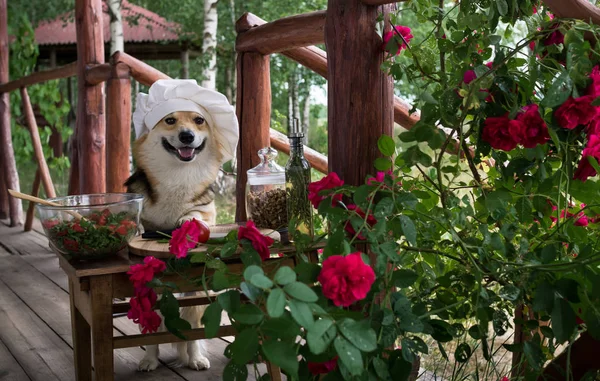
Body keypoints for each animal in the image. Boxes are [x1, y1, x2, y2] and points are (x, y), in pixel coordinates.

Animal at [124, 108, 227, 370]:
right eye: (170, 120)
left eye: (199, 120)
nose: (187, 136)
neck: (178, 176)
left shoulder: (206, 211)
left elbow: (197, 214)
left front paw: (187, 221)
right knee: (152, 330)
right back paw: (150, 359)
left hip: (196, 295)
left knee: (192, 329)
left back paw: (196, 358)